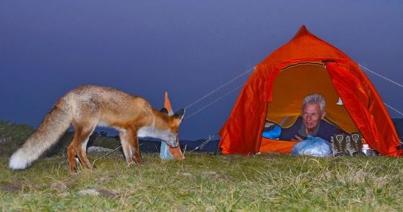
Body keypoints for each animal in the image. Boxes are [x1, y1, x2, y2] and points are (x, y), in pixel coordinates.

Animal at [9, 84, 186, 172]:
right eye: (177, 133)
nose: (177, 145)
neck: (150, 116)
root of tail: (68, 94)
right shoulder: (132, 130)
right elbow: (136, 151)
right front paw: (141, 165)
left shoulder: (123, 132)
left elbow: (127, 152)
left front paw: (130, 166)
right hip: (88, 129)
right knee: (72, 148)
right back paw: (76, 170)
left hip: (87, 132)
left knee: (80, 149)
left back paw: (85, 168)